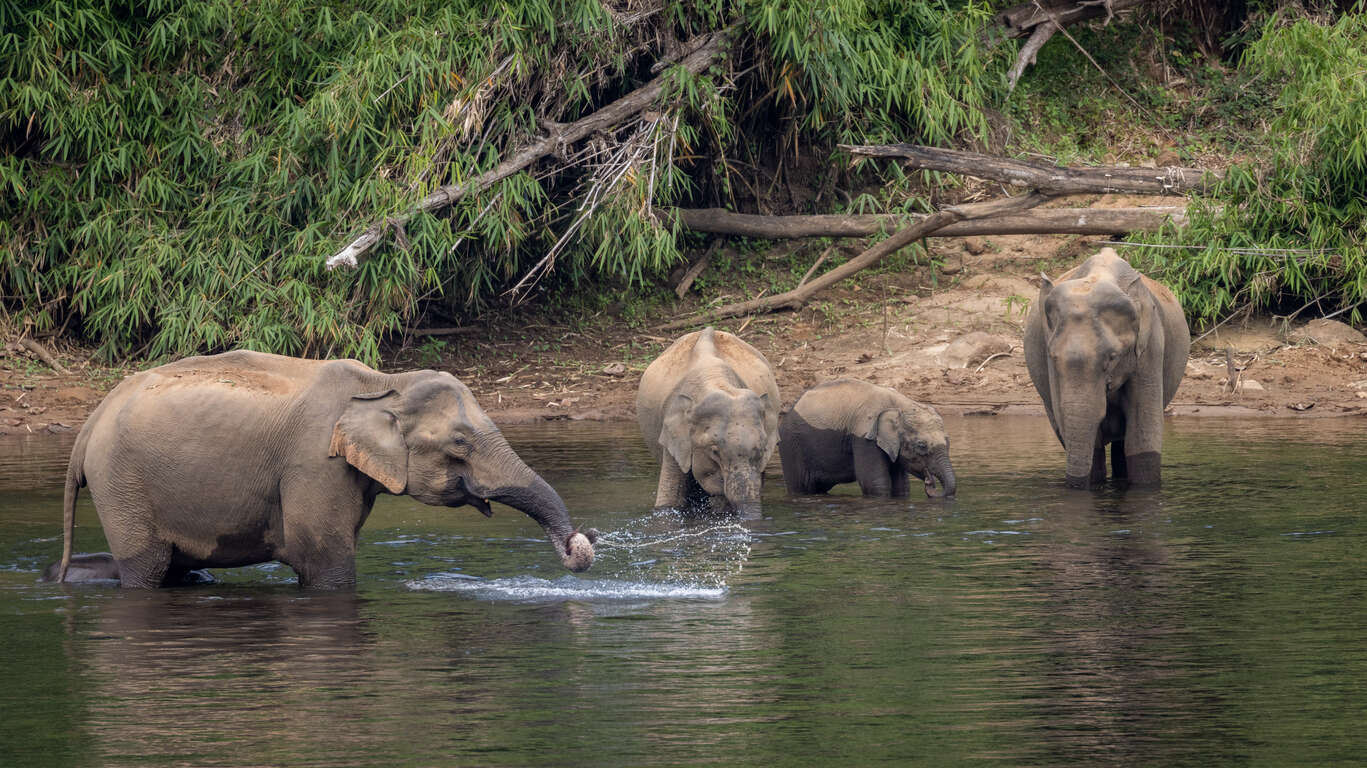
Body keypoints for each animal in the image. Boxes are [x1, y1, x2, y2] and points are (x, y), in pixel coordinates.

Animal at [58, 348, 593, 584]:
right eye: (460, 442)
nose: (579, 546)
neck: (384, 381)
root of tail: (89, 422)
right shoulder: (312, 466)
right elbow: (325, 560)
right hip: (122, 484)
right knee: (146, 568)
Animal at [781, 379, 962, 500]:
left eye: (948, 442)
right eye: (921, 446)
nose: (929, 482)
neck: (900, 405)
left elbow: (901, 486)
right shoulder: (864, 438)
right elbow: (875, 484)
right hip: (791, 444)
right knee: (800, 487)